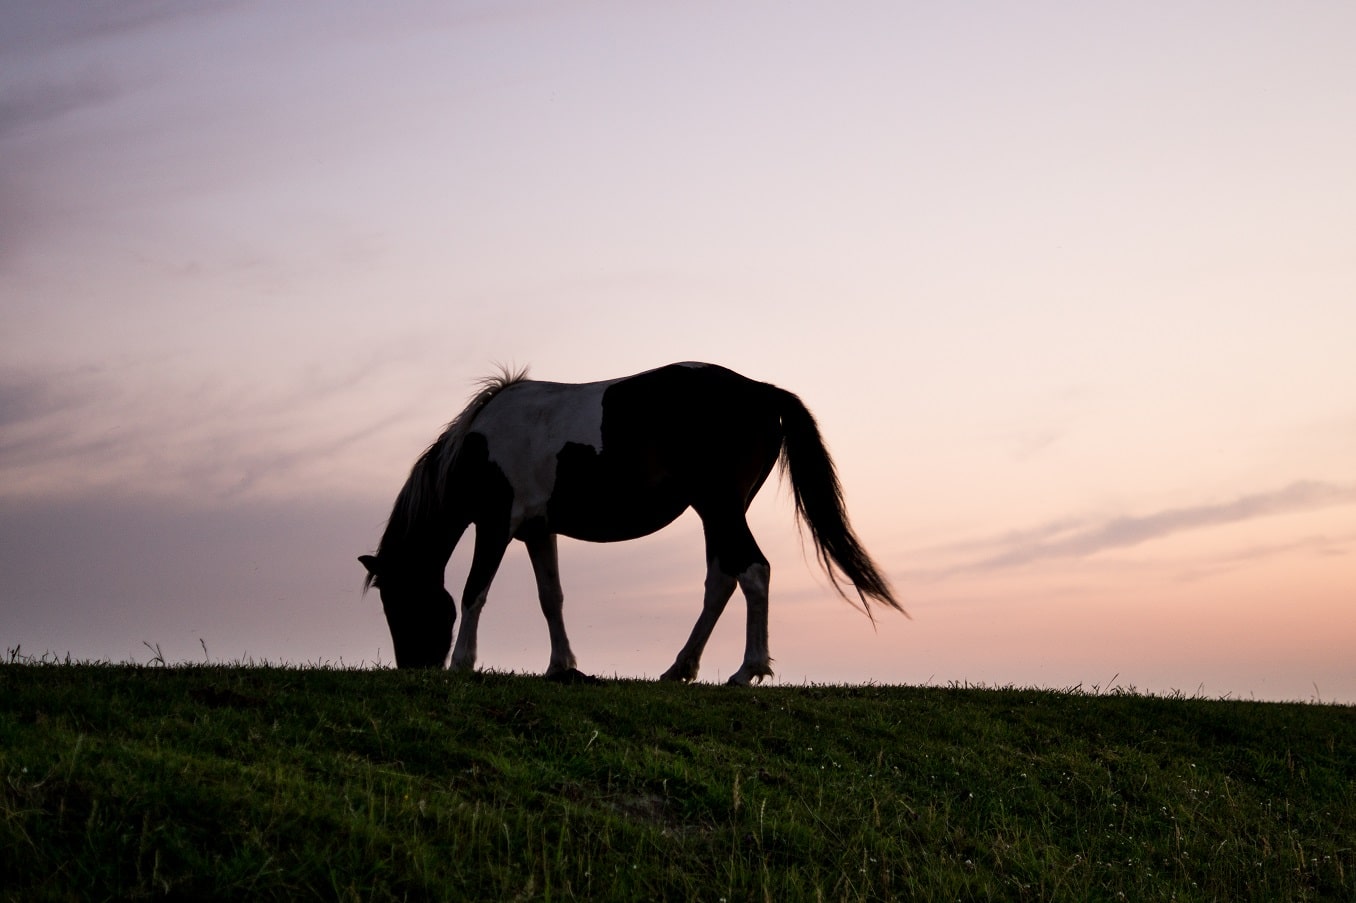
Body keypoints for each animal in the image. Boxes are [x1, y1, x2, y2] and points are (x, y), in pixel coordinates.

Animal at [366, 357, 905, 683]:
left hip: (720, 506)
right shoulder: (538, 531)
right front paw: (563, 667)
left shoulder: (496, 525)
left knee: (753, 572)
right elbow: (550, 597)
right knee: (722, 579)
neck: (479, 445)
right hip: (717, 512)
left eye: (399, 601)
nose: (413, 667)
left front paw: (462, 663)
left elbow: (475, 591)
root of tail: (760, 391)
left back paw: (746, 670)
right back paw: (681, 668)